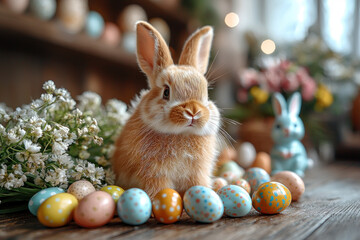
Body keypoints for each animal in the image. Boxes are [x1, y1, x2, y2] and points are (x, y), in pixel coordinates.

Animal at [111, 21, 221, 199]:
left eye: (206, 94)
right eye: (166, 92)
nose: (193, 112)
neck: (182, 134)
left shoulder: (197, 173)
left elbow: (198, 184)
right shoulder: (154, 174)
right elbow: (160, 189)